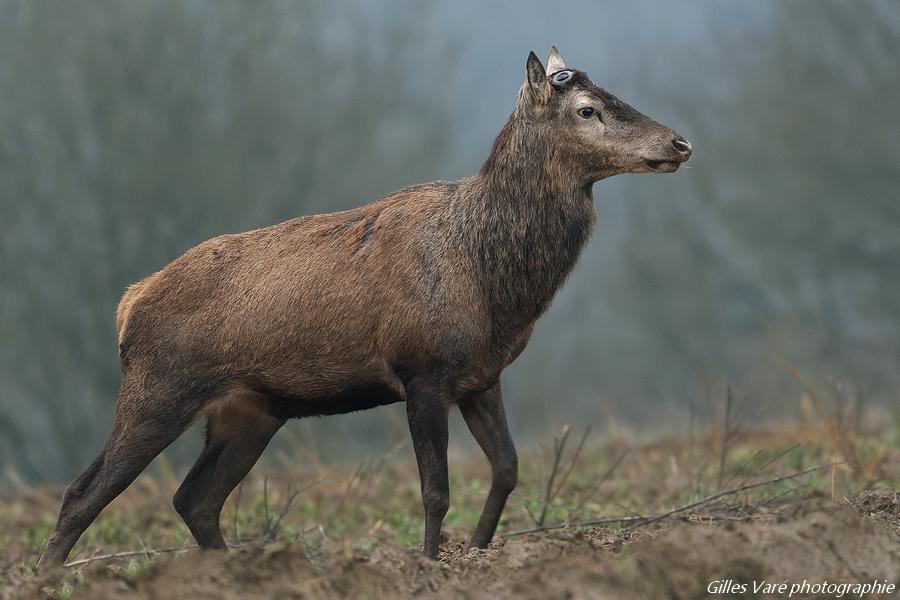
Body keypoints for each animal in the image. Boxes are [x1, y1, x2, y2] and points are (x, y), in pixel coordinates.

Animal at [38, 48, 692, 568]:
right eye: (586, 108)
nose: (680, 142)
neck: (490, 280)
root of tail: (128, 305)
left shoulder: (481, 375)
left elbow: (506, 468)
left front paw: (479, 552)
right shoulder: (421, 371)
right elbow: (436, 490)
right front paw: (429, 564)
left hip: (251, 411)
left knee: (194, 499)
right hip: (158, 389)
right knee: (82, 492)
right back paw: (46, 576)